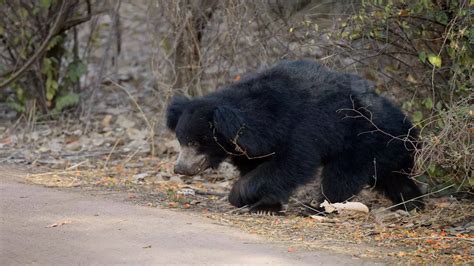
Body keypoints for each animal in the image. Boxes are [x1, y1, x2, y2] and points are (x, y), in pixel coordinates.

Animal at [166, 59, 422, 213]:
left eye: (196, 142)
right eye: (181, 140)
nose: (180, 169)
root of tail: (408, 128)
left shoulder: (302, 129)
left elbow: (290, 164)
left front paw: (241, 195)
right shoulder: (251, 147)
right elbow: (257, 165)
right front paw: (265, 204)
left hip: (362, 143)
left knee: (340, 177)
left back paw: (319, 208)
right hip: (385, 151)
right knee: (393, 178)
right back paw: (412, 202)